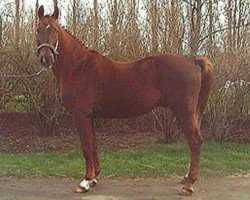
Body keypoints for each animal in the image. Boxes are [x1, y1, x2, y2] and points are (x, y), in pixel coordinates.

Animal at [36, 5, 214, 195]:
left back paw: (189, 185)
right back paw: (187, 178)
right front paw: (94, 178)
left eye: (55, 31)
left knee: (195, 142)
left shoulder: (80, 114)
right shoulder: (90, 116)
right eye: (38, 29)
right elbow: (93, 144)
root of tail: (192, 62)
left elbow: (86, 147)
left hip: (184, 112)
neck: (78, 67)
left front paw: (85, 182)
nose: (46, 59)